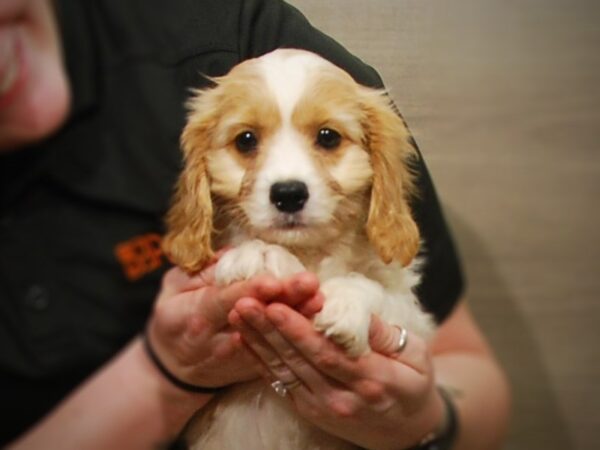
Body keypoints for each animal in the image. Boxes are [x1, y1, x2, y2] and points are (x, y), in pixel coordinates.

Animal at [162, 48, 434, 450]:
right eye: (245, 140)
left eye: (328, 137)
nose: (288, 193)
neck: (310, 254)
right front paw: (259, 253)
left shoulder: (413, 321)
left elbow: (378, 291)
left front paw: (346, 301)